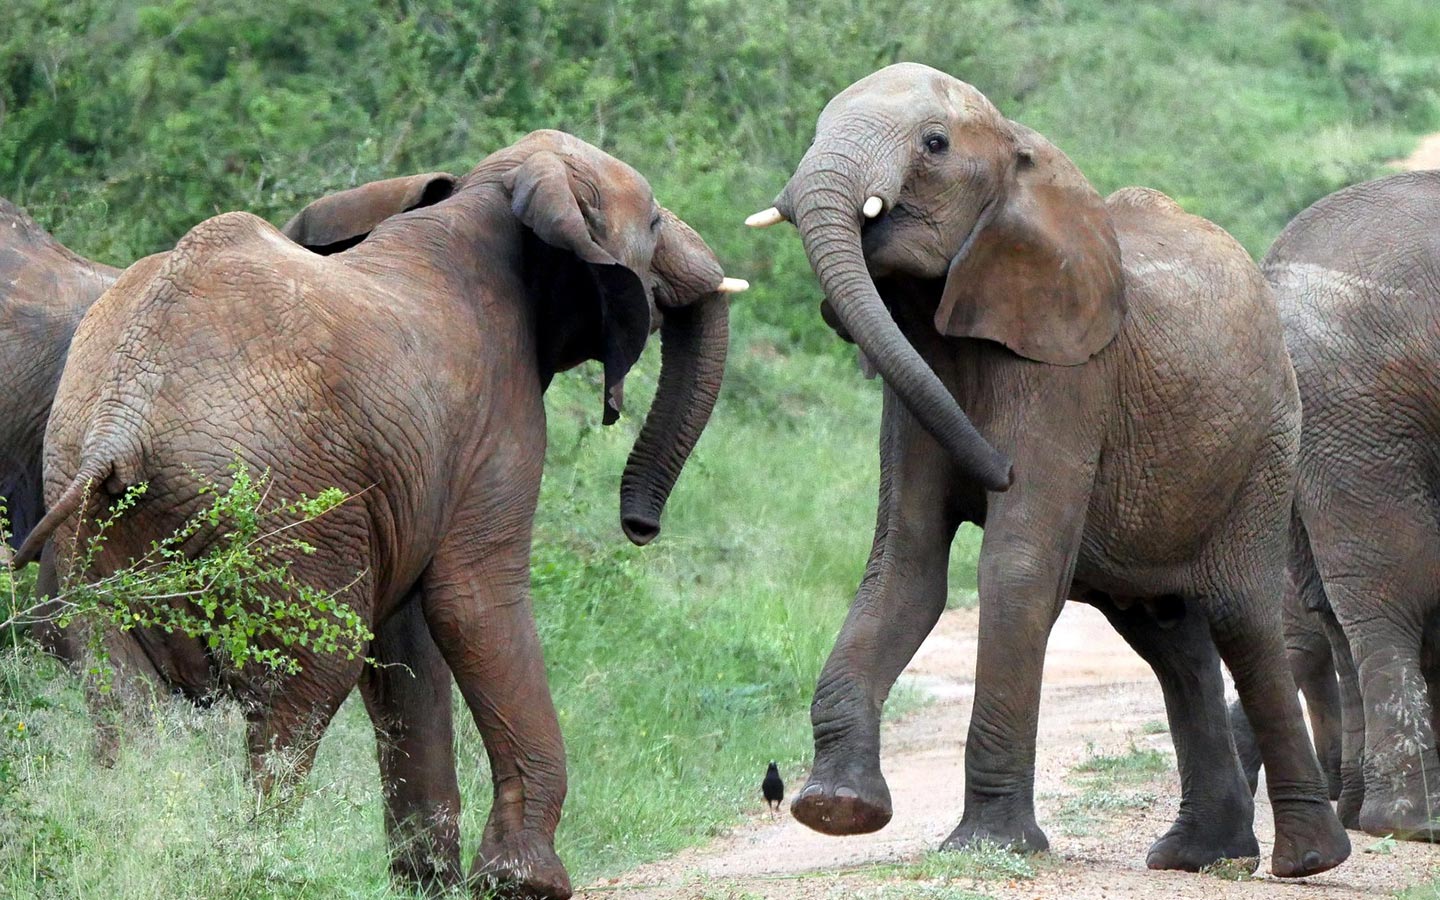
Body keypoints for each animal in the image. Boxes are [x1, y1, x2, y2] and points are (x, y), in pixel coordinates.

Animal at [748, 64, 1342, 875]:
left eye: (934, 145)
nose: (994, 471)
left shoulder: (1068, 377)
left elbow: (1019, 568)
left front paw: (989, 844)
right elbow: (904, 566)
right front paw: (838, 810)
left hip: (1266, 448)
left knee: (1241, 620)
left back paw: (1309, 861)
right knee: (1172, 640)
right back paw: (1195, 854)